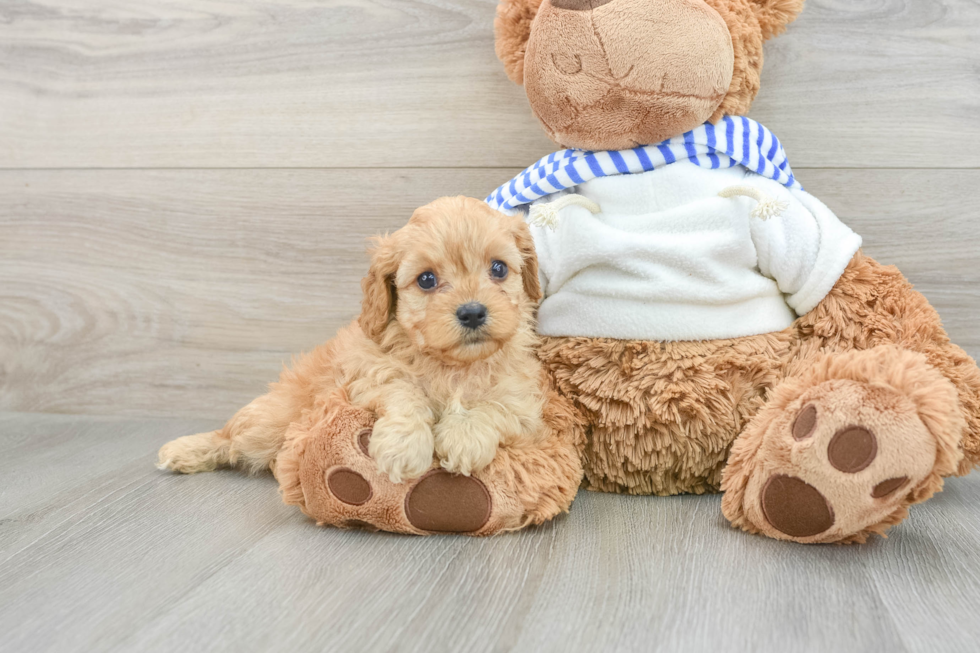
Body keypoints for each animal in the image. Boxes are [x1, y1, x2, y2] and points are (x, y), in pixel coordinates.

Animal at [157, 196, 548, 482]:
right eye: (426, 279)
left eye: (498, 268)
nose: (472, 312)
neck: (453, 365)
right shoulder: (368, 376)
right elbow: (403, 392)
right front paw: (403, 447)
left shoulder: (524, 405)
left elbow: (494, 407)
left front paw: (464, 435)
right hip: (269, 422)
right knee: (230, 439)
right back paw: (184, 450)